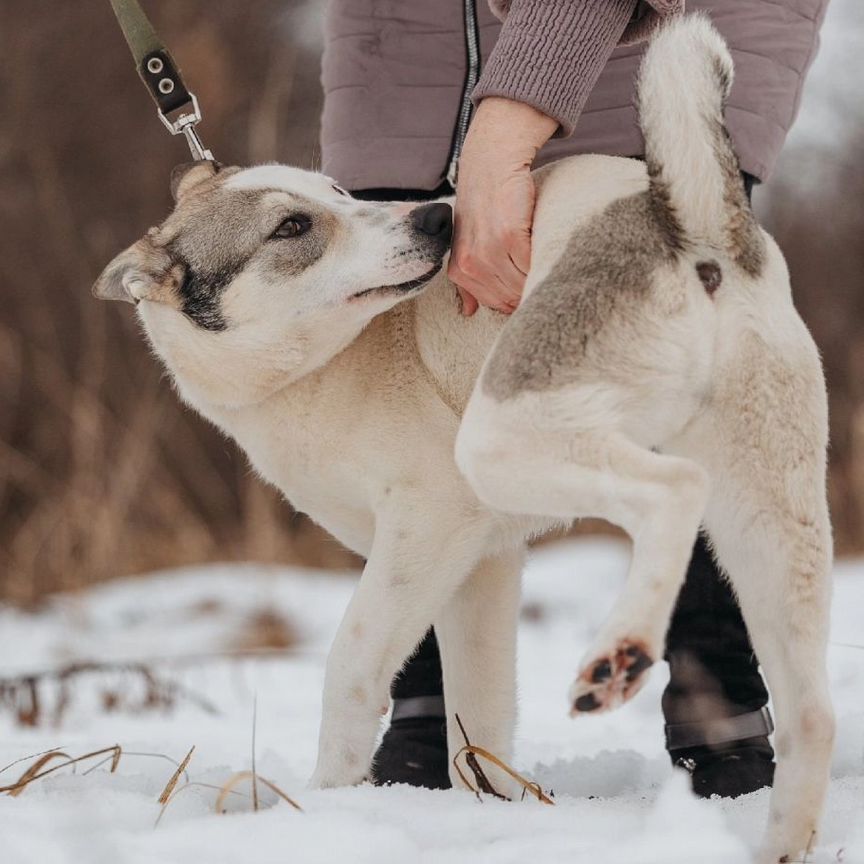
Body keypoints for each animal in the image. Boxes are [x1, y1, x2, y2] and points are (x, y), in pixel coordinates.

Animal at [96, 16, 836, 860]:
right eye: (293, 224)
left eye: (335, 196)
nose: (437, 218)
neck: (327, 363)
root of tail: (695, 224)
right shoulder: (482, 565)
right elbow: (477, 711)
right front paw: (489, 810)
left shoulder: (429, 526)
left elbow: (353, 660)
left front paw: (328, 802)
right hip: (772, 519)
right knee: (812, 712)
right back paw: (776, 840)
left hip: (504, 442)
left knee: (676, 491)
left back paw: (619, 655)